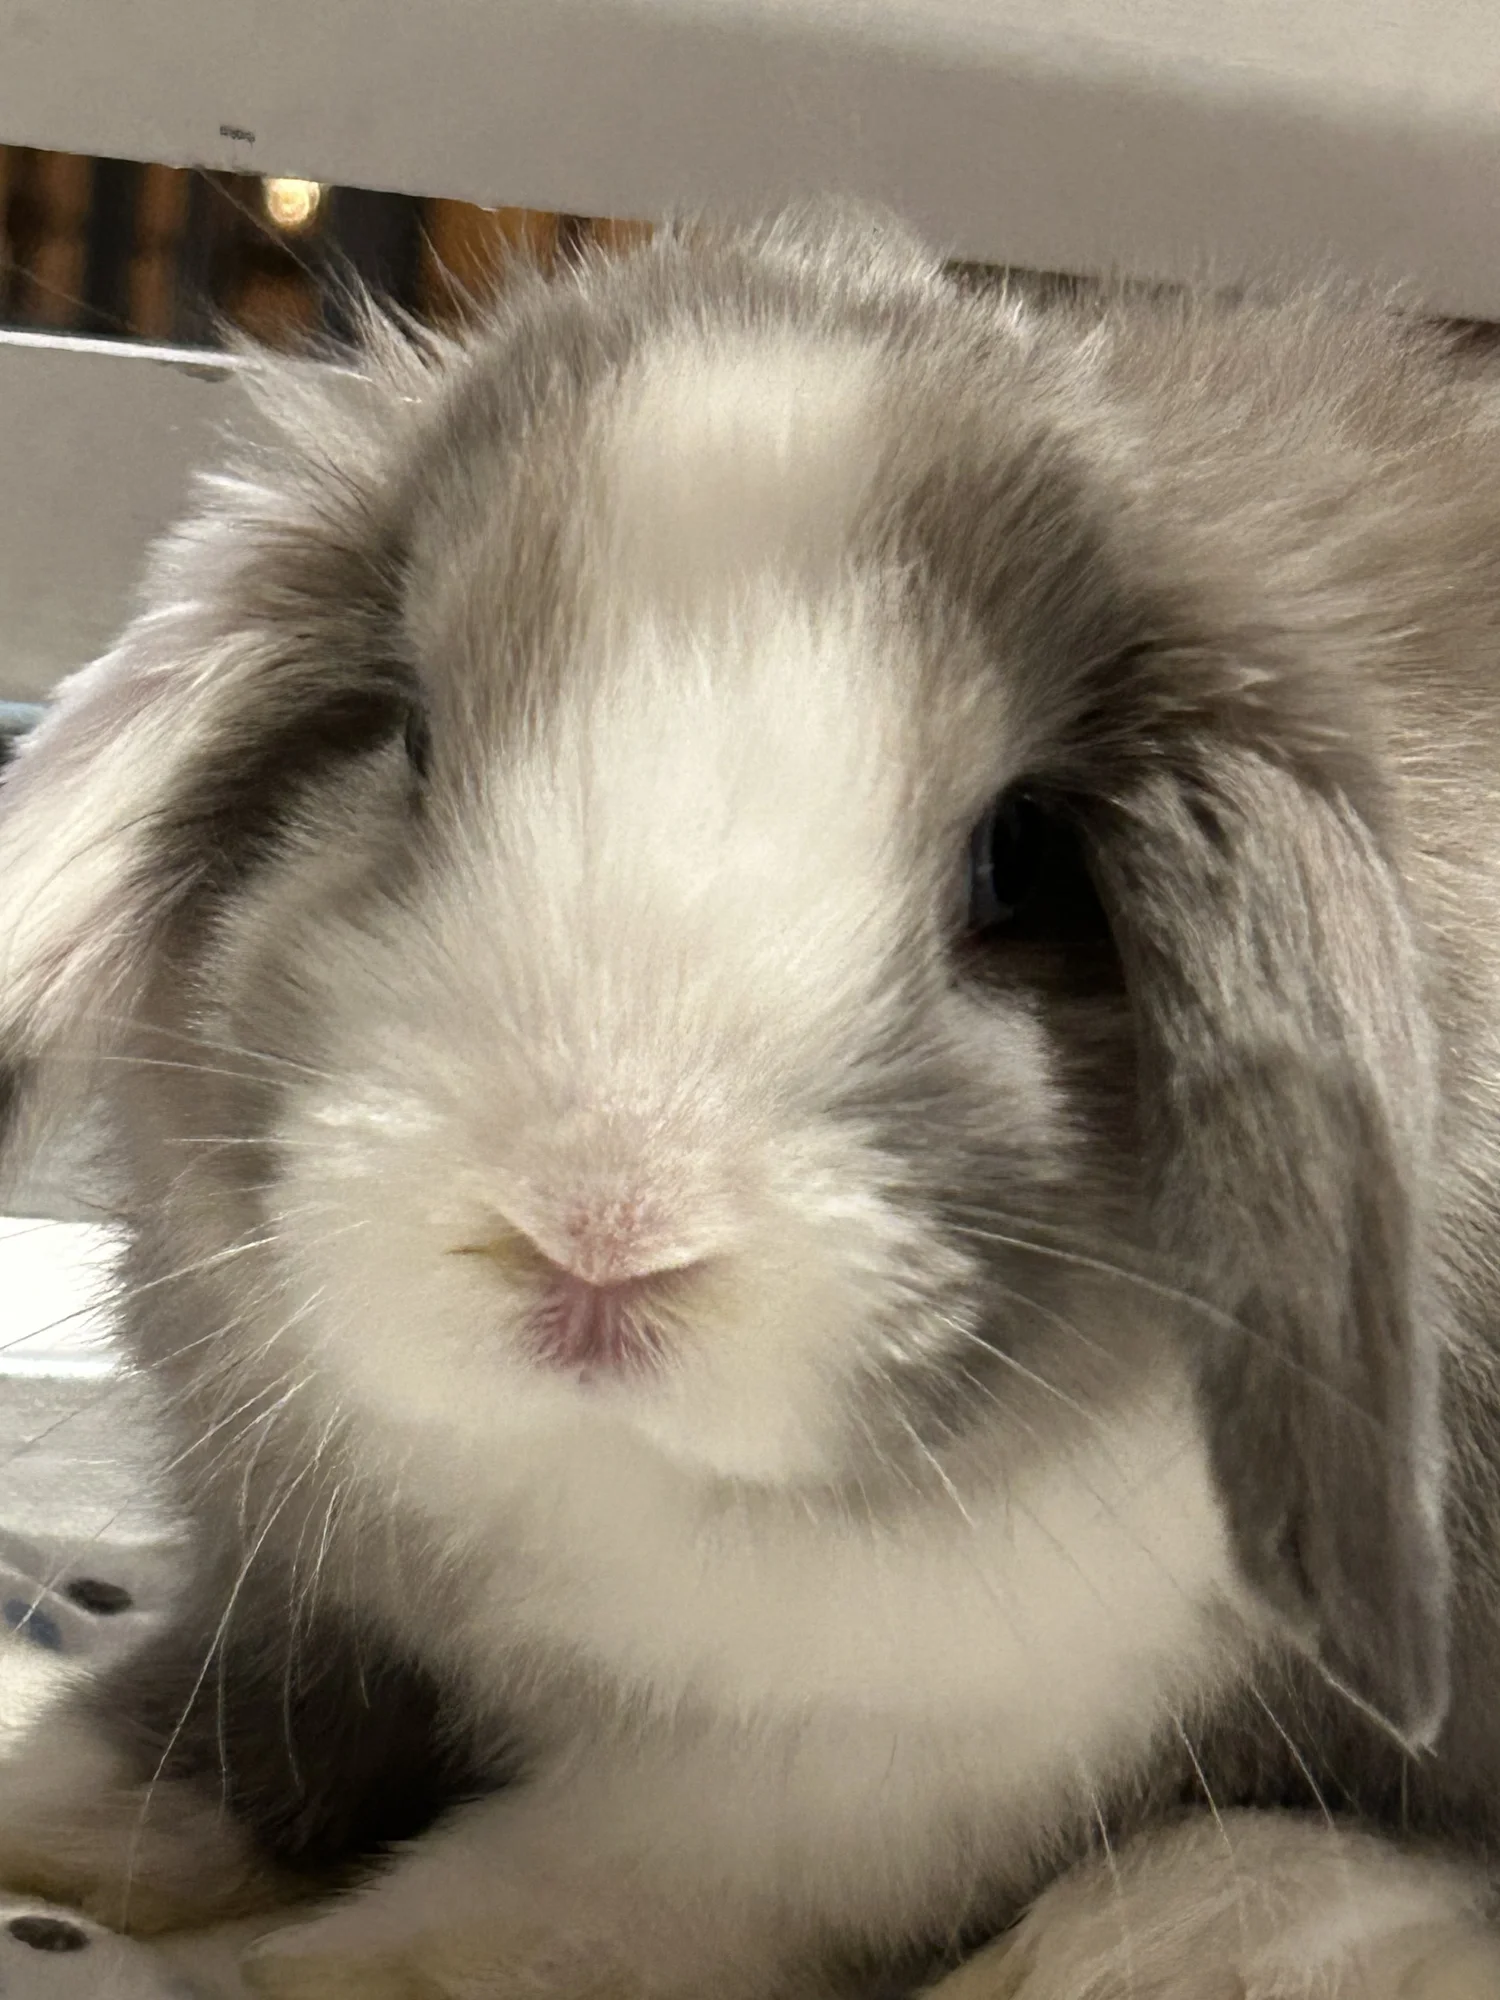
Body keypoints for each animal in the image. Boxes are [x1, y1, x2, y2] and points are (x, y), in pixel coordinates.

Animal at [3, 202, 1500, 2000]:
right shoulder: (300, 1587)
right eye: (411, 739)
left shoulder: (839, 1788)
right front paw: (36, 1796)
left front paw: (286, 1975)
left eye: (1023, 861)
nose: (595, 1230)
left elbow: (534, 1907)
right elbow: (200, 1736)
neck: (597, 1471)